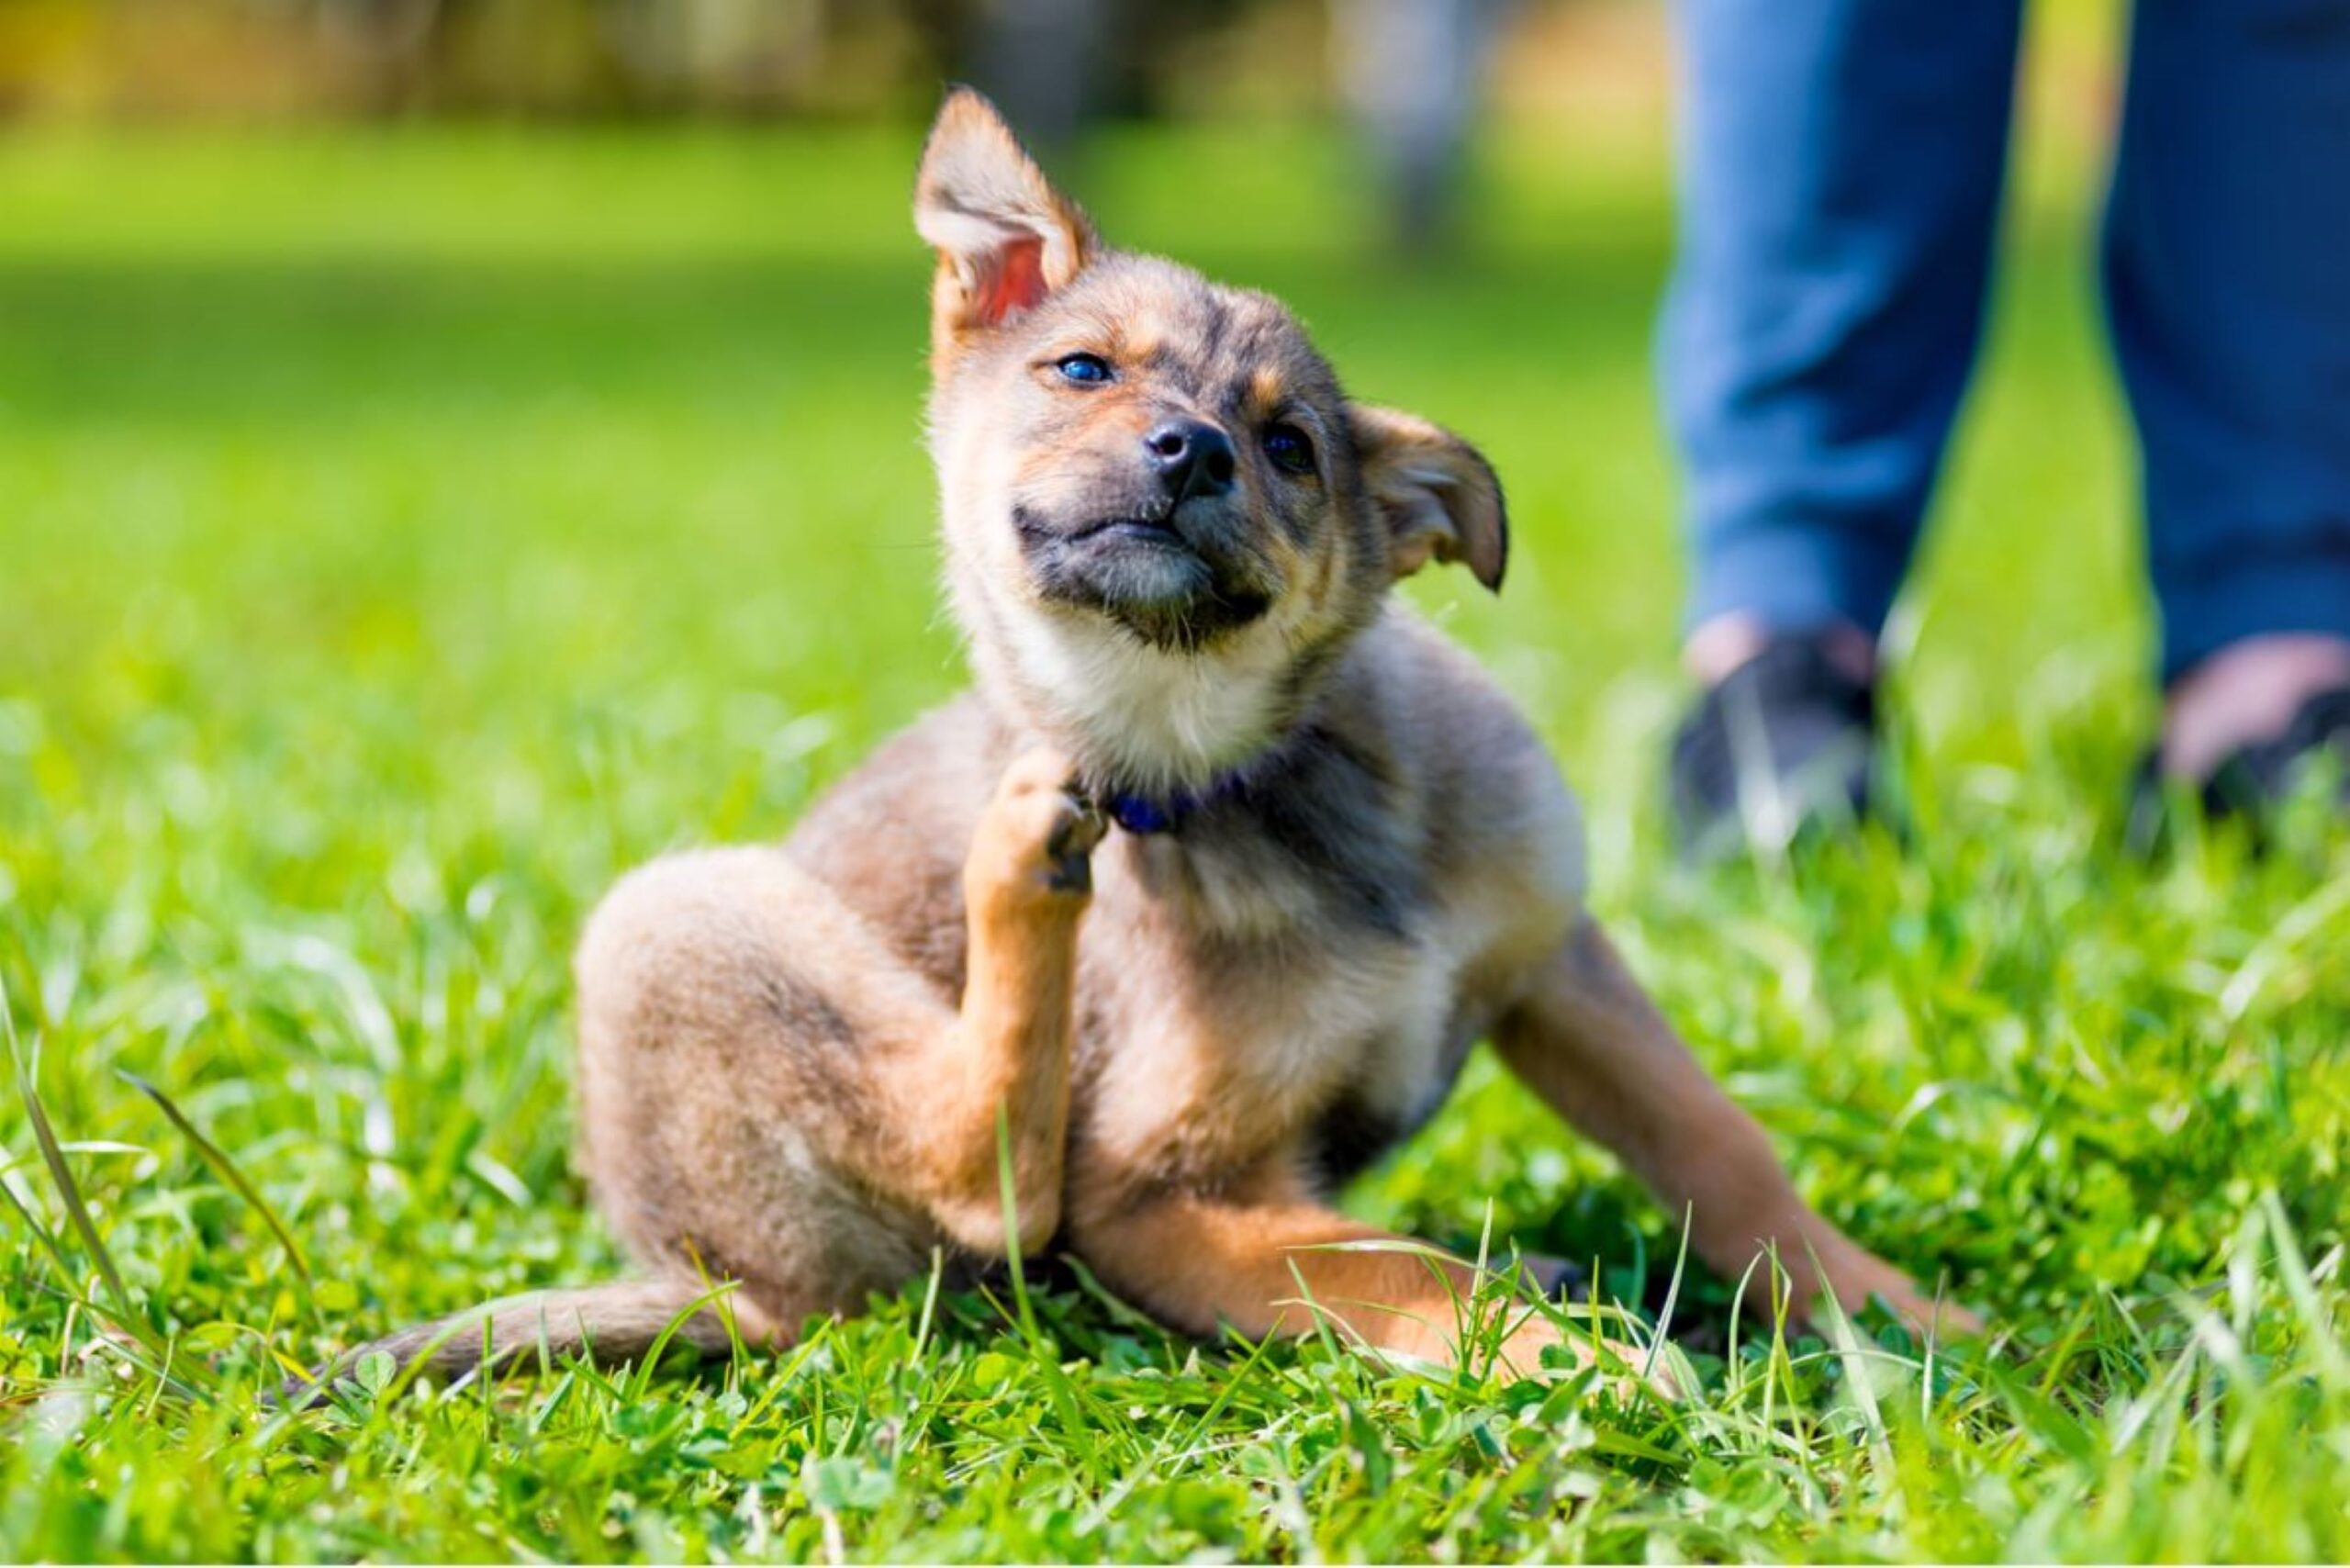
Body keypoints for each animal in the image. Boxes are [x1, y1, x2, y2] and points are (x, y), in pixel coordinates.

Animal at [330, 88, 1974, 1382]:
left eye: (1290, 447)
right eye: (1083, 370)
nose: (1188, 453)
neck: (1248, 774)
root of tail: (719, 1289)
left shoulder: (1554, 959)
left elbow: (1719, 1144)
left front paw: (1888, 1308)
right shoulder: (1150, 1194)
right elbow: (1391, 1269)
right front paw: (1572, 1362)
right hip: (670, 918)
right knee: (984, 1176)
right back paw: (1019, 864)